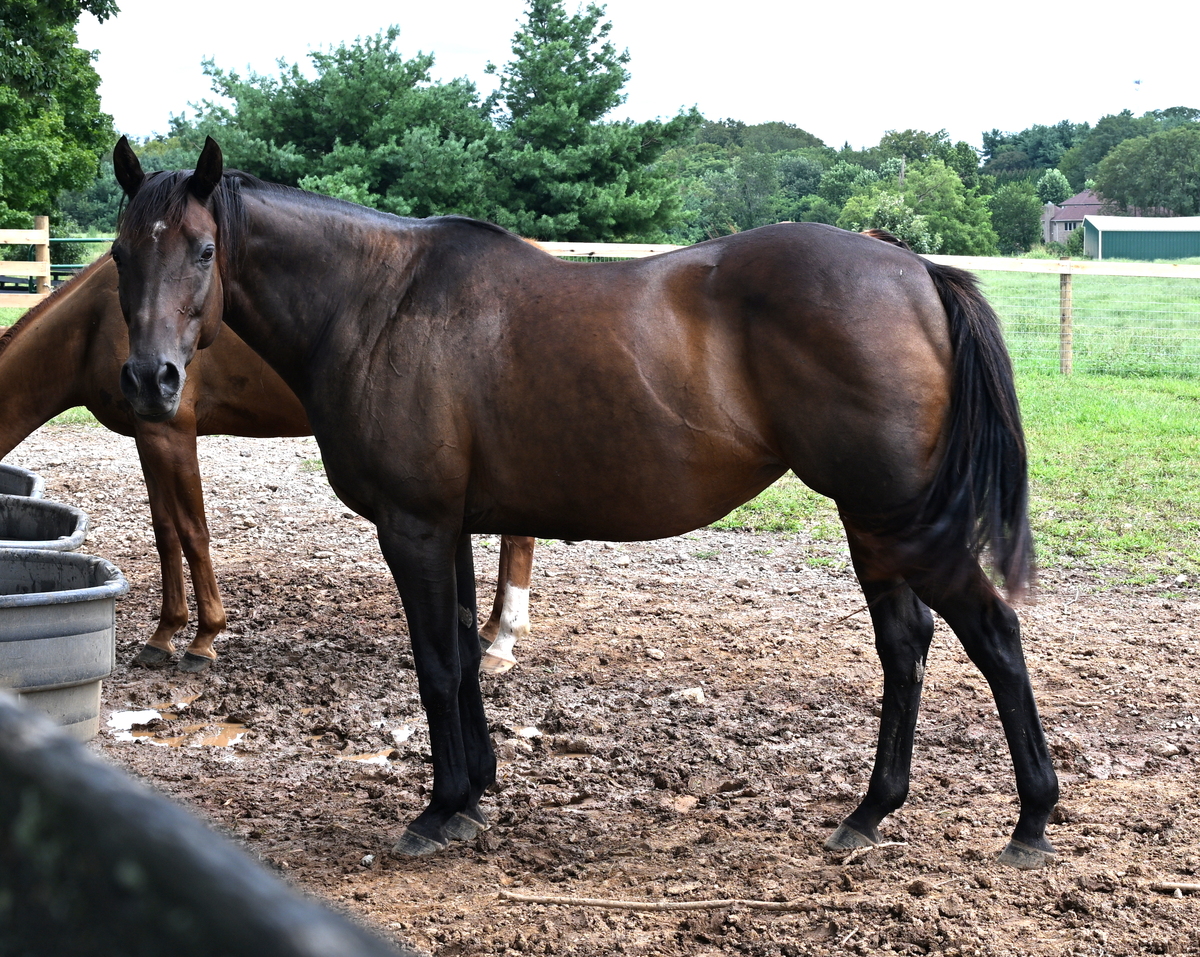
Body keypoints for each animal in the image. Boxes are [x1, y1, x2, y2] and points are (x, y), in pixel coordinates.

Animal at [0, 254, 535, 674]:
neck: (95, 322)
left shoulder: (171, 433)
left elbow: (193, 531)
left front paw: (203, 639)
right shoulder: (146, 435)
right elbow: (165, 532)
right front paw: (163, 634)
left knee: (519, 537)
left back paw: (503, 645)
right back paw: (488, 631)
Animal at [110, 136, 1058, 868]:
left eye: (202, 251)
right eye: (123, 255)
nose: (152, 380)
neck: (378, 303)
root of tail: (913, 269)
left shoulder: (414, 526)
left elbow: (436, 662)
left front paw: (440, 806)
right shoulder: (452, 527)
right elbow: (464, 652)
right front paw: (476, 792)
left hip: (897, 515)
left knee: (992, 635)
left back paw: (1032, 818)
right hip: (874, 523)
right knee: (907, 645)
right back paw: (870, 810)